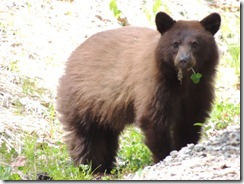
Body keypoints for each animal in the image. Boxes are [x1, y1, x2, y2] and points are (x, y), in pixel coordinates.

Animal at [56, 11, 221, 172]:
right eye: (175, 44)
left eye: (195, 44)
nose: (183, 60)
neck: (182, 81)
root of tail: (72, 57)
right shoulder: (154, 85)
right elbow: (153, 118)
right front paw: (163, 156)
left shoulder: (198, 90)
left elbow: (191, 120)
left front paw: (184, 147)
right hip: (82, 99)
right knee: (85, 135)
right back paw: (91, 167)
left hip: (105, 110)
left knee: (106, 135)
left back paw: (106, 166)